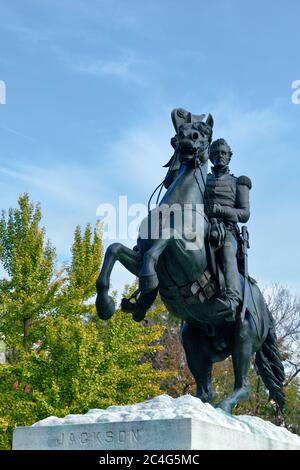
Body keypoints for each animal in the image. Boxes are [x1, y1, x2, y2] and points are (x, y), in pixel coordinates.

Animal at [95, 112, 284, 414]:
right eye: (180, 131)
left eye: (204, 132)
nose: (186, 140)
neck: (179, 207)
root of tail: (266, 311)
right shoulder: (139, 256)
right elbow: (114, 250)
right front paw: (105, 305)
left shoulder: (188, 258)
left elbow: (166, 241)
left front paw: (147, 279)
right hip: (192, 339)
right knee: (205, 390)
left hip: (243, 335)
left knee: (241, 384)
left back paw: (224, 405)